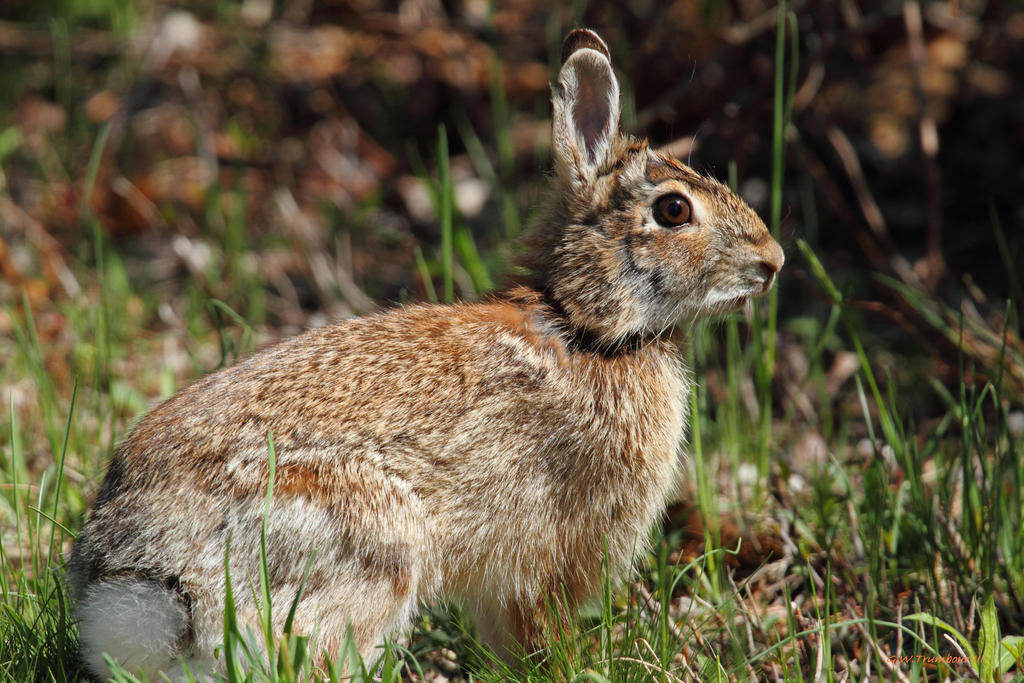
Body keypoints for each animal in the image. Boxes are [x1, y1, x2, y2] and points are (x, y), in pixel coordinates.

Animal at [69, 28, 784, 681]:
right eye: (674, 211)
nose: (771, 262)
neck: (583, 326)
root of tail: (146, 577)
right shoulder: (548, 554)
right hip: (368, 549)